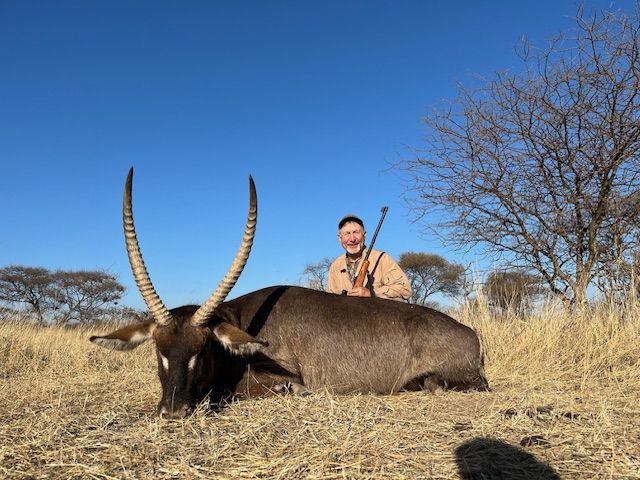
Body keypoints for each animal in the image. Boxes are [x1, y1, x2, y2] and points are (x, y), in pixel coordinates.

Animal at [90, 168, 489, 419]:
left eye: (202, 351)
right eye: (159, 351)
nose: (173, 412)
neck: (241, 319)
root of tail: (471, 334)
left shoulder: (284, 374)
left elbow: (235, 389)